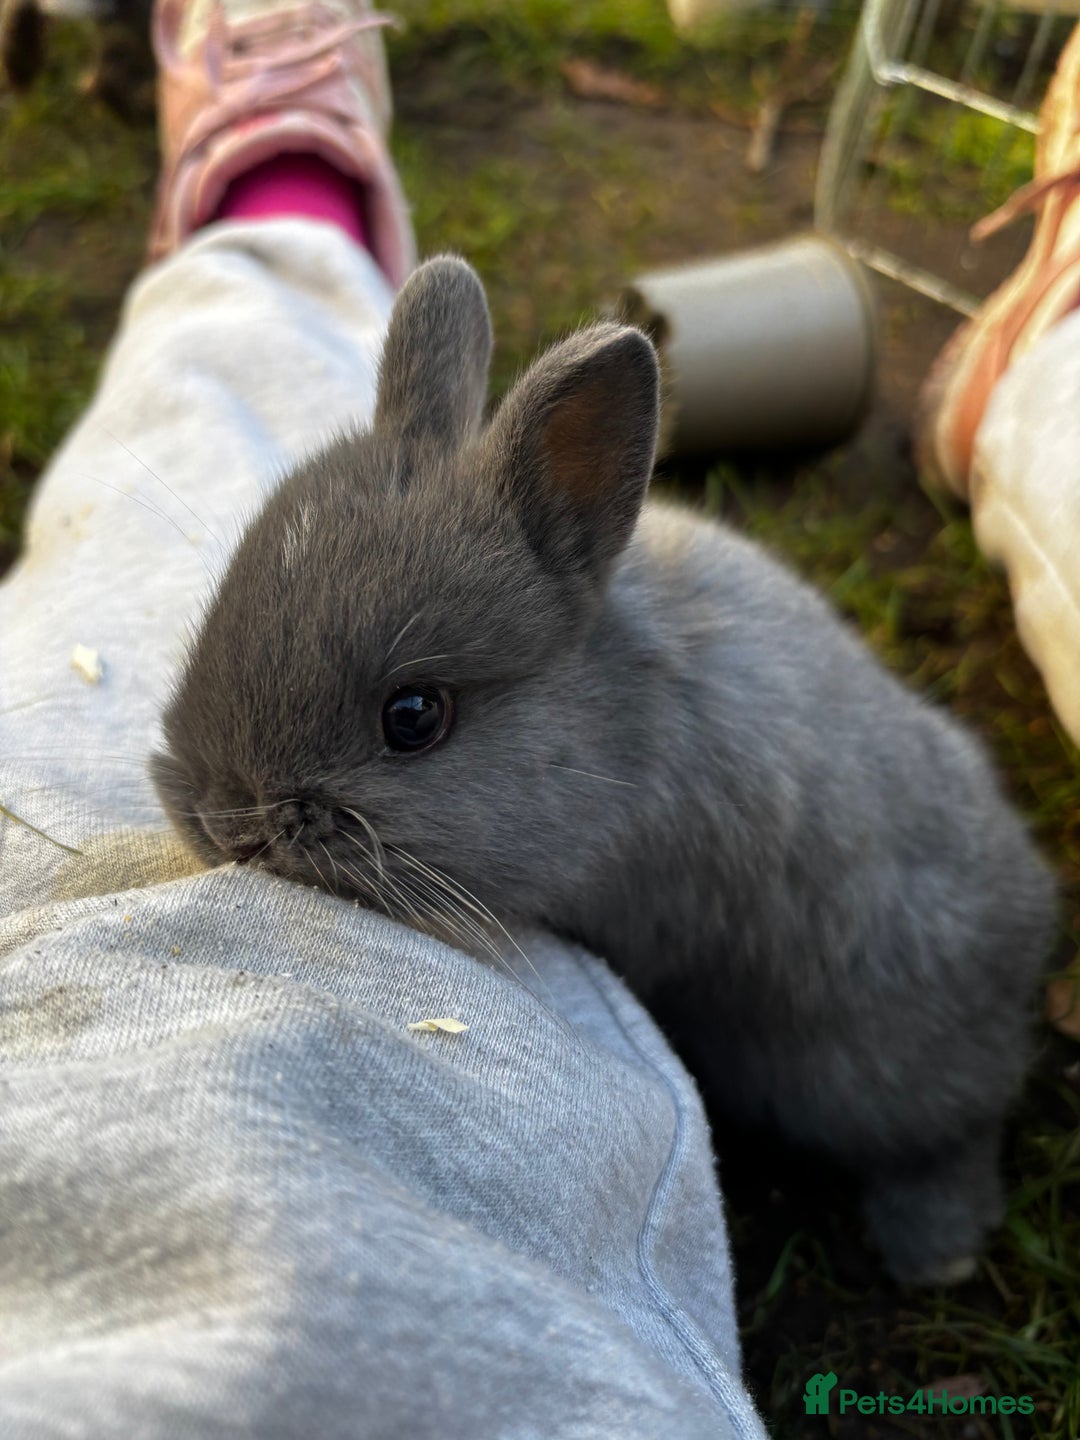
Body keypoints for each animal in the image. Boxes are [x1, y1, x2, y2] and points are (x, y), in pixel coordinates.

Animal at [151, 255, 1057, 1287]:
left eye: (413, 718)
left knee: (951, 1139)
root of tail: (1032, 926)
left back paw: (936, 1255)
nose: (225, 820)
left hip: (881, 1072)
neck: (618, 721)